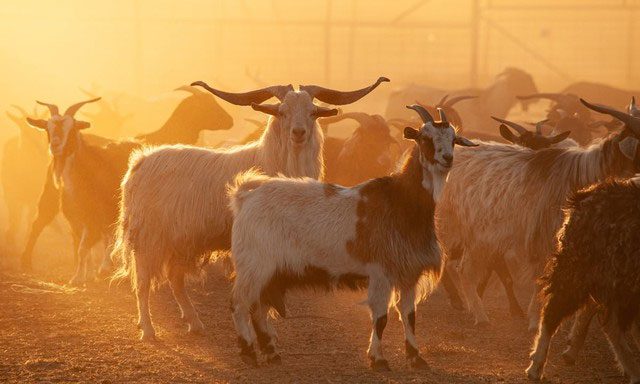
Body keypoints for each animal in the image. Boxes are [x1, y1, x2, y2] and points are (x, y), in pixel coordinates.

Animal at [110, 76, 388, 340]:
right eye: (282, 111)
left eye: (312, 111)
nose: (298, 133)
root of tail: (140, 162)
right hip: (148, 237)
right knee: (143, 283)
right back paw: (148, 330)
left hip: (183, 242)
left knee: (174, 279)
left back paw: (195, 323)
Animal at [228, 104, 478, 368]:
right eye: (425, 137)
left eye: (453, 139)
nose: (447, 158)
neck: (402, 202)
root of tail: (246, 195)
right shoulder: (381, 272)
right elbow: (381, 318)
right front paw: (378, 359)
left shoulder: (408, 272)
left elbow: (409, 316)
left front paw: (415, 356)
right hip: (254, 265)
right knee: (239, 305)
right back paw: (248, 352)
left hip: (271, 271)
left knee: (258, 308)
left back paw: (270, 352)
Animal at [436, 97, 640, 328]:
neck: (583, 173)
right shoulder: (544, 238)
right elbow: (540, 279)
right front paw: (535, 320)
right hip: (451, 227)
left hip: (479, 237)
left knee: (465, 270)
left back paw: (479, 315)